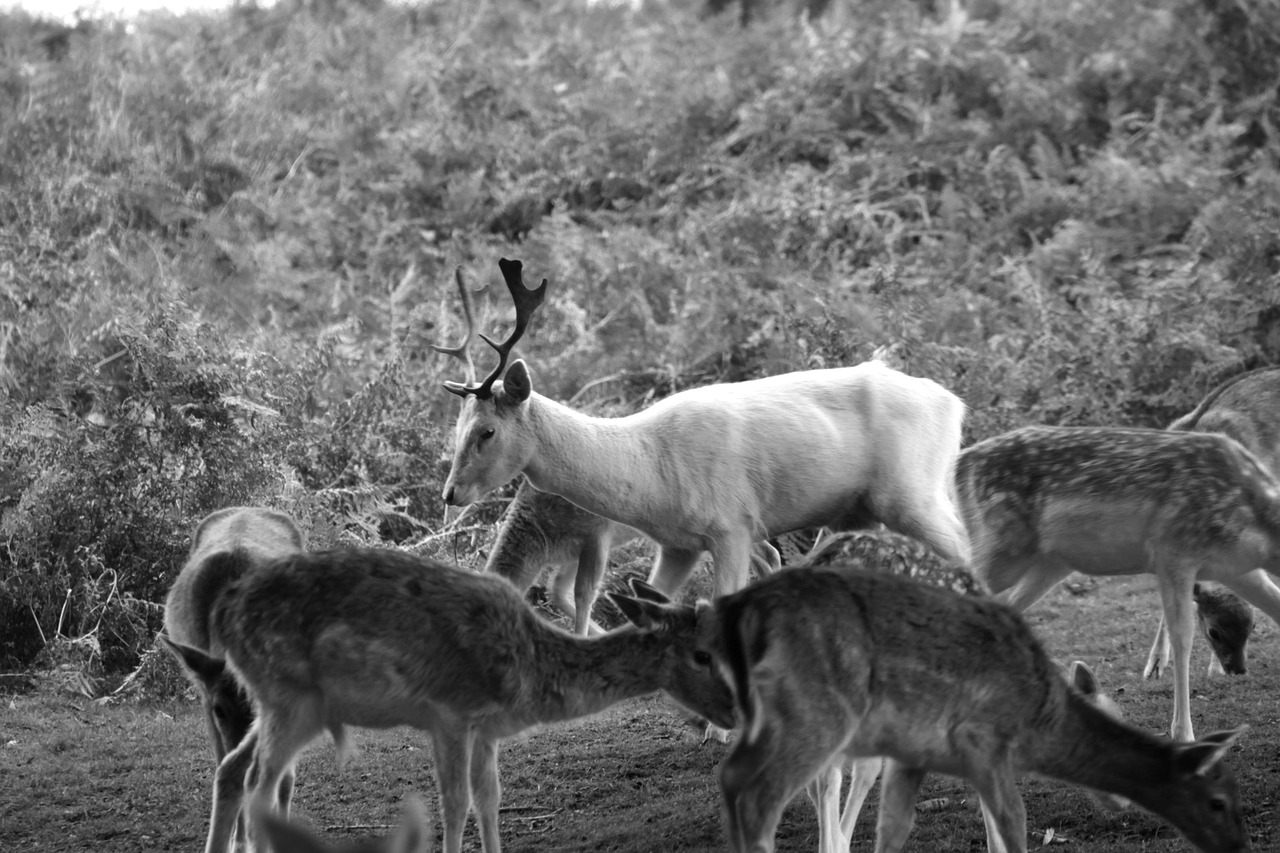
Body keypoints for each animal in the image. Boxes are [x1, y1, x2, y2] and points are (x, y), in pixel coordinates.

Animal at [172, 545, 732, 850]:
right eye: (703, 654)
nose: (731, 711)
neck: (530, 673)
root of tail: (224, 614)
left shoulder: (487, 730)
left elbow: (489, 799)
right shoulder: (449, 713)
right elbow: (454, 803)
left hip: (276, 705)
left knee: (236, 771)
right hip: (290, 696)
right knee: (258, 784)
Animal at [435, 256, 962, 607]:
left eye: (486, 432)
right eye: (455, 425)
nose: (450, 493)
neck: (651, 473)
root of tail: (953, 405)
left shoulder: (734, 525)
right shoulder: (679, 544)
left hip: (912, 494)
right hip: (866, 511)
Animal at [957, 422, 1280, 737]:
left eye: (1253, 626)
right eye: (1214, 632)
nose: (1237, 670)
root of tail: (960, 464)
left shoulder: (1236, 570)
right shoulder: (1174, 552)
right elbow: (1182, 639)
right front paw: (1182, 734)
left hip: (1050, 563)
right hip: (1001, 546)